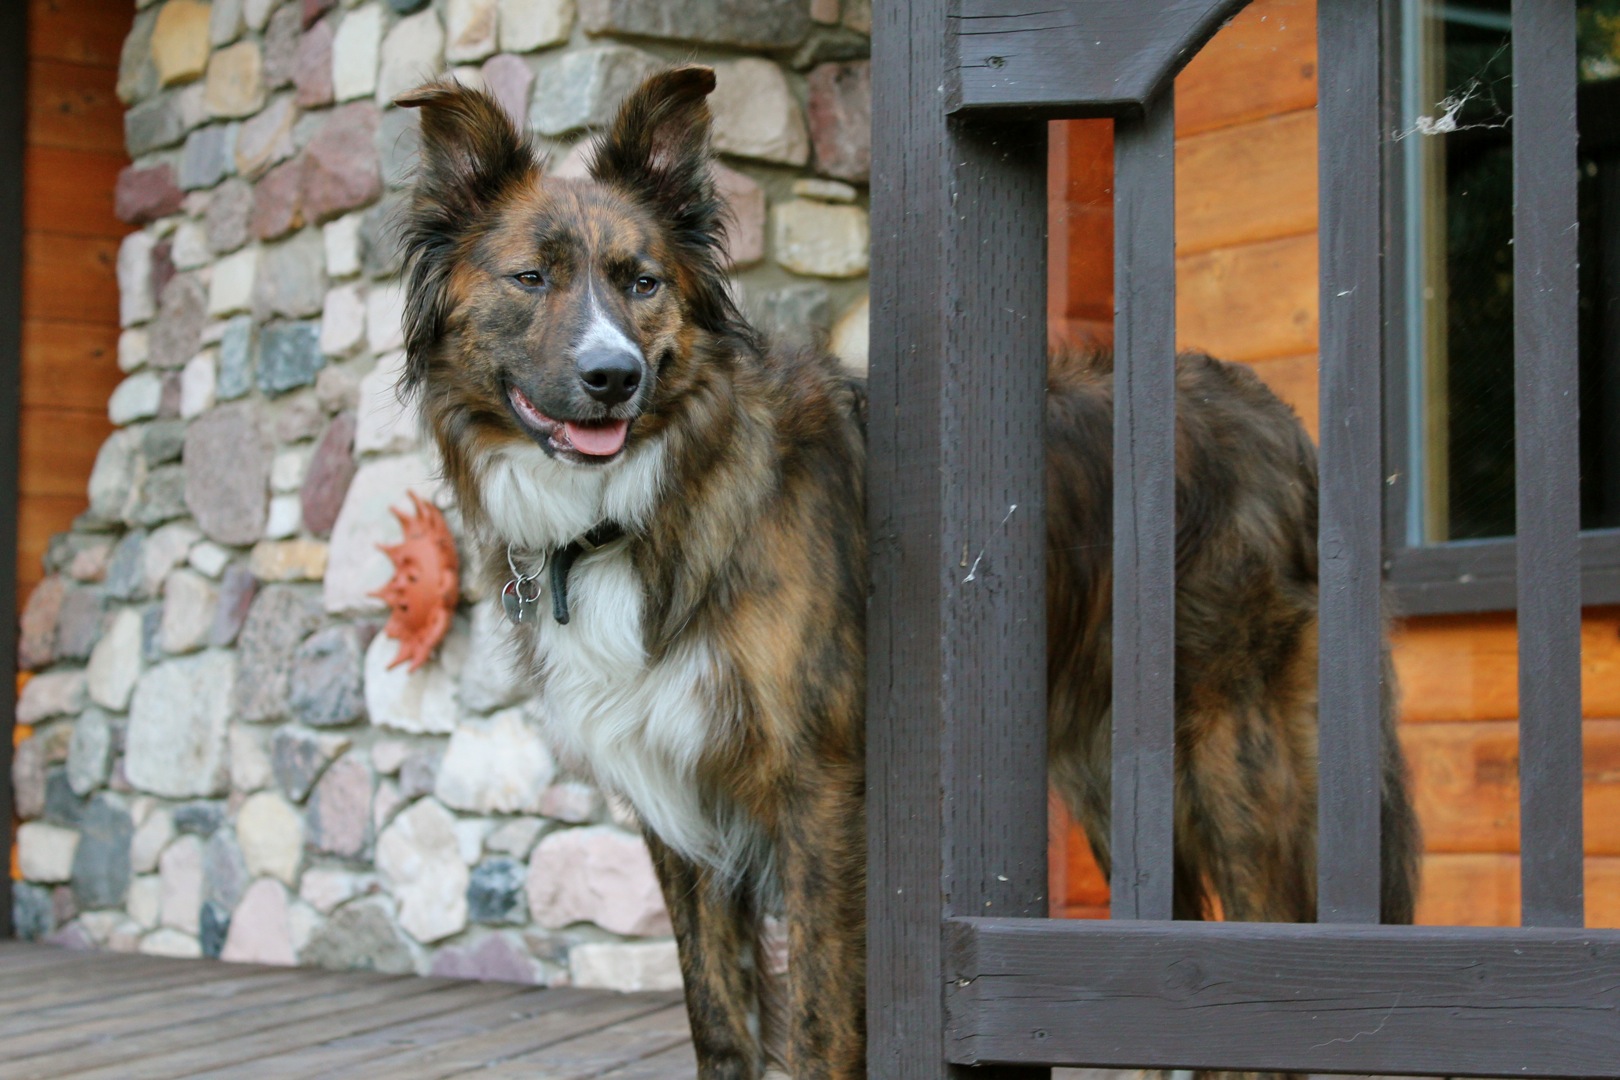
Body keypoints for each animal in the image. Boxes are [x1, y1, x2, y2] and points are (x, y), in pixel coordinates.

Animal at [395, 66, 1419, 1079]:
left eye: (641, 282)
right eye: (531, 278)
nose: (614, 378)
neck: (650, 501)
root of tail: (1282, 420)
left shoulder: (820, 792)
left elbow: (816, 1023)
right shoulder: (677, 804)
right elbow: (720, 1022)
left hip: (1232, 759)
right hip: (1116, 781)